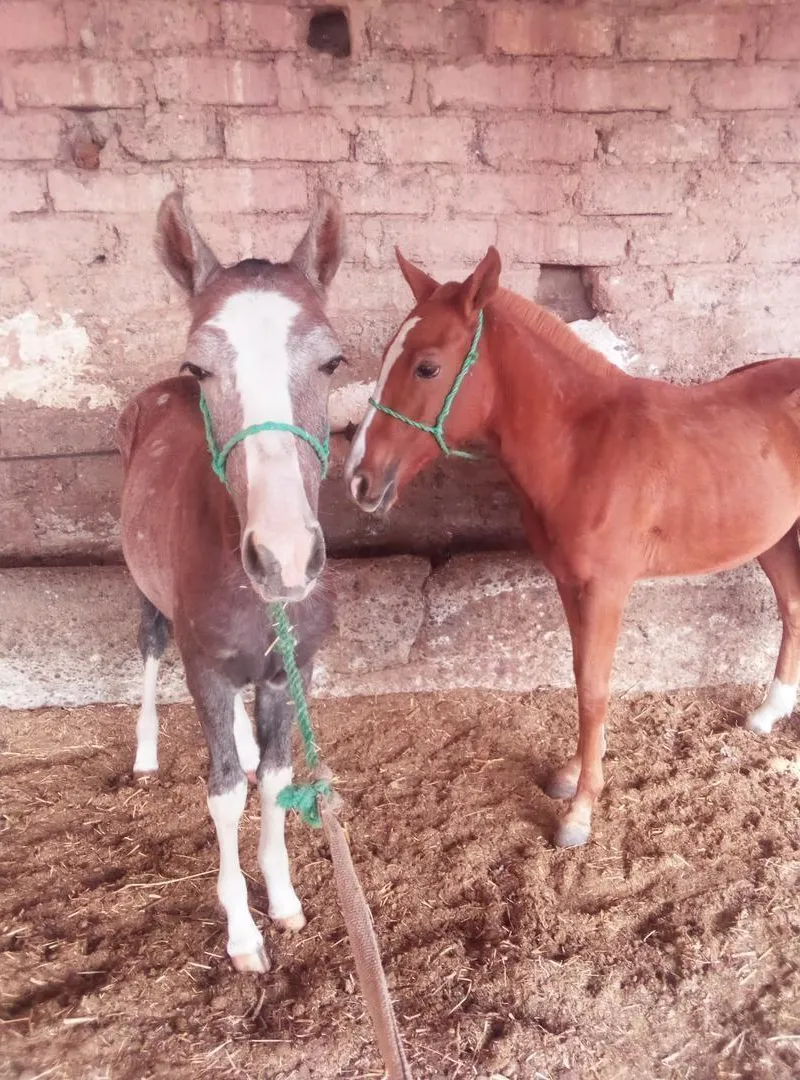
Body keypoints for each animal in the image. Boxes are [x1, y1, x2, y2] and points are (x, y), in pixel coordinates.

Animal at [117, 188, 345, 972]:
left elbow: (274, 781)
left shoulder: (288, 669)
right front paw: (243, 934)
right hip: (146, 594)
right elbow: (222, 795)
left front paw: (283, 900)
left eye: (332, 361)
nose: (283, 558)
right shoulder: (207, 671)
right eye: (200, 368)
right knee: (149, 648)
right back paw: (146, 752)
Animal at [345, 245, 800, 850]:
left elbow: (595, 688)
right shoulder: (568, 581)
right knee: (792, 607)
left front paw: (580, 811)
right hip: (774, 537)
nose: (359, 480)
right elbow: (583, 674)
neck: (585, 448)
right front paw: (572, 772)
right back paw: (769, 712)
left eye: (427, 367)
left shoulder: (607, 588)